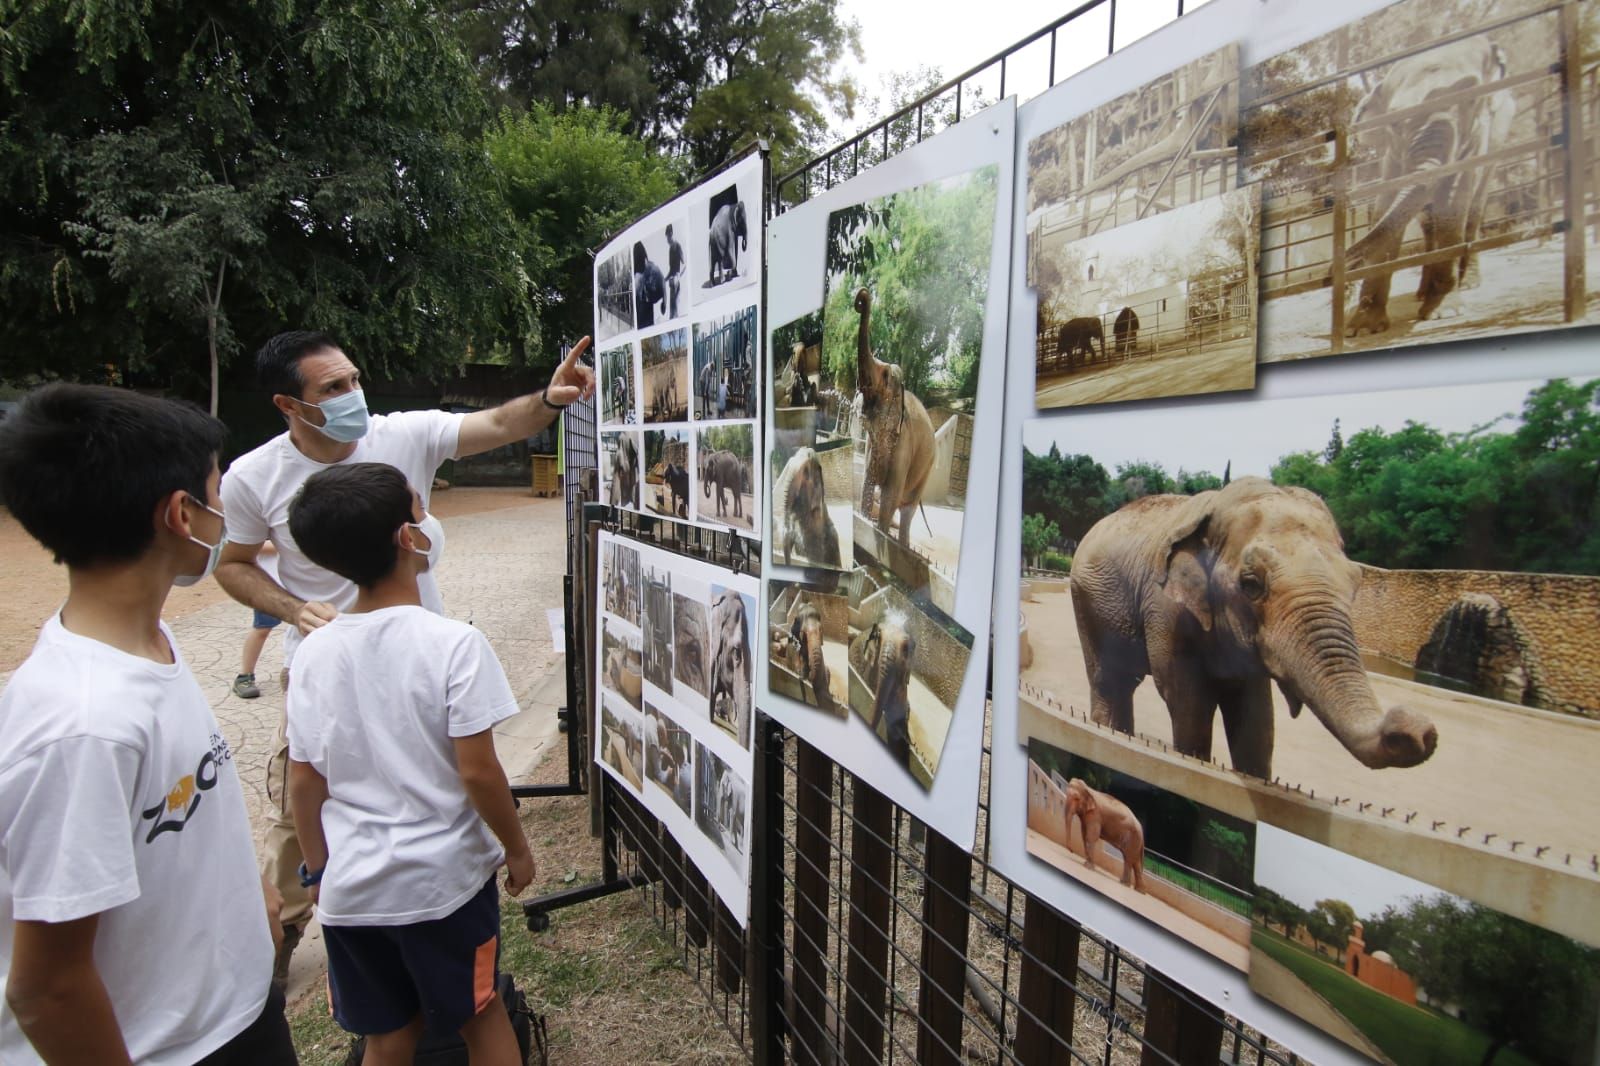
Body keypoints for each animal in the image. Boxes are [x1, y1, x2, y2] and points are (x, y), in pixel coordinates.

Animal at [857, 286, 934, 544]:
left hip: (927, 468)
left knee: (907, 508)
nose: (860, 299)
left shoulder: (904, 442)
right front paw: (863, 519)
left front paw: (878, 532)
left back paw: (902, 544)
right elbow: (867, 481)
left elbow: (890, 493)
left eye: (885, 376)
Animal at [1075, 476, 1440, 777]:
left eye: (1355, 583)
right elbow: (1188, 701)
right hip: (1088, 600)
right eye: (1251, 585)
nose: (1421, 732)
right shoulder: (1165, 608)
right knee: (1110, 680)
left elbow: (1257, 717)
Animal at [1344, 36, 1504, 336]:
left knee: (1473, 210)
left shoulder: (1475, 140)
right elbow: (1387, 205)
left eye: (1471, 103)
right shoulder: (1392, 156)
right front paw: (1363, 329)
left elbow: (1452, 202)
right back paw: (1421, 293)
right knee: (1429, 225)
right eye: (1394, 122)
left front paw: (1443, 313)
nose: (1340, 263)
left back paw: (1466, 284)